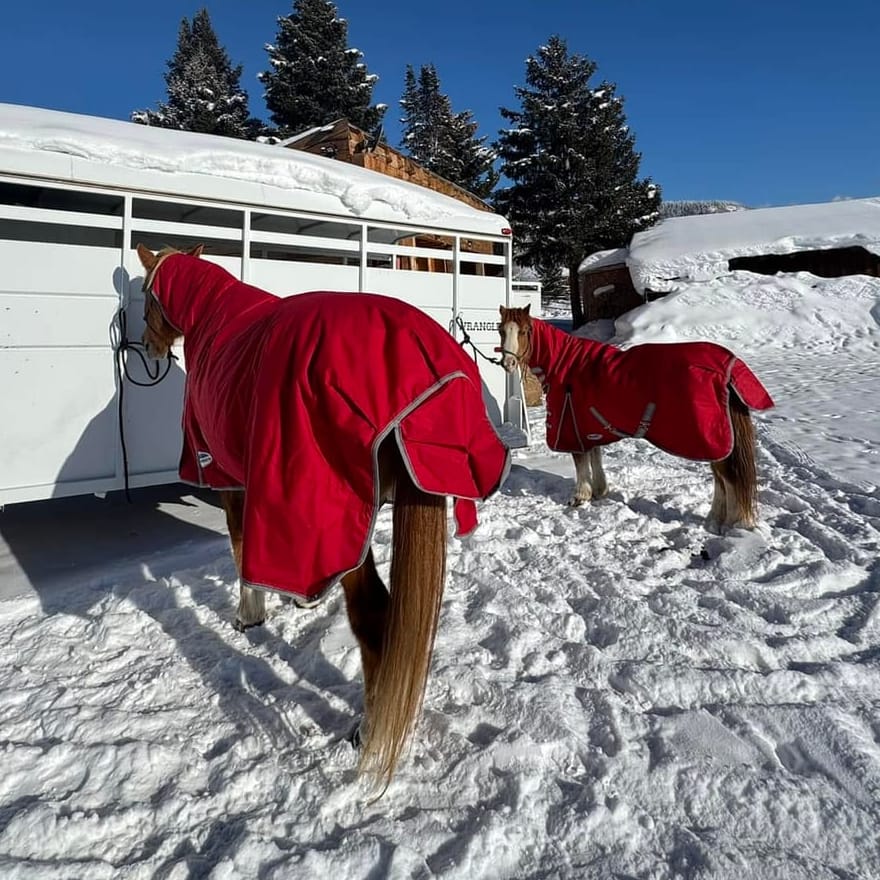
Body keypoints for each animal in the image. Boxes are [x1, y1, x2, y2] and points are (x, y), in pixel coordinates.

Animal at [136, 243, 510, 788]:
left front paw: (249, 617)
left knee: (374, 617)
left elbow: (240, 544)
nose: (150, 347)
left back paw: (367, 731)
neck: (217, 319)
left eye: (145, 296)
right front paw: (301, 601)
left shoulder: (229, 475)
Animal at [498, 304, 774, 529]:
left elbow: (581, 463)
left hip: (711, 439)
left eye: (525, 331)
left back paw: (731, 523)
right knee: (721, 478)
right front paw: (599, 491)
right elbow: (595, 456)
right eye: (501, 330)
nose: (507, 364)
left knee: (727, 477)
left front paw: (579, 497)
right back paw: (714, 519)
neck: (567, 366)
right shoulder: (588, 426)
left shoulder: (570, 426)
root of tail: (726, 366)